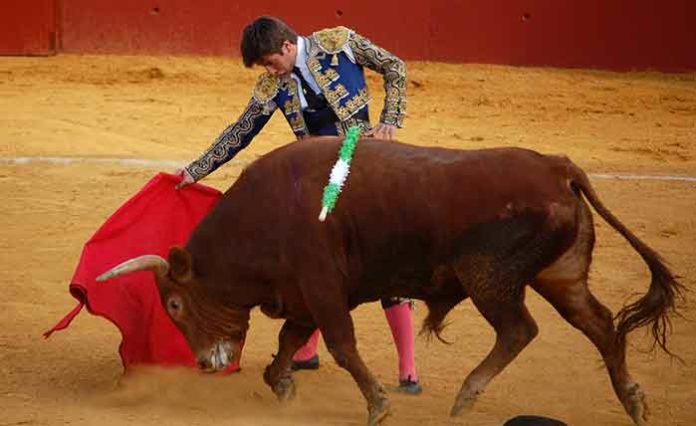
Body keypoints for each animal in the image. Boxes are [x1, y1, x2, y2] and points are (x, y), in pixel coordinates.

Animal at [96, 138, 680, 424]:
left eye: (174, 305)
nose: (201, 362)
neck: (265, 214)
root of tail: (558, 168)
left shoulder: (322, 286)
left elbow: (340, 344)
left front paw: (378, 404)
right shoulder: (302, 293)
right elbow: (288, 339)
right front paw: (281, 384)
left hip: (489, 276)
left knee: (519, 330)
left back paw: (465, 397)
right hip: (562, 276)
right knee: (599, 324)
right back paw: (633, 401)